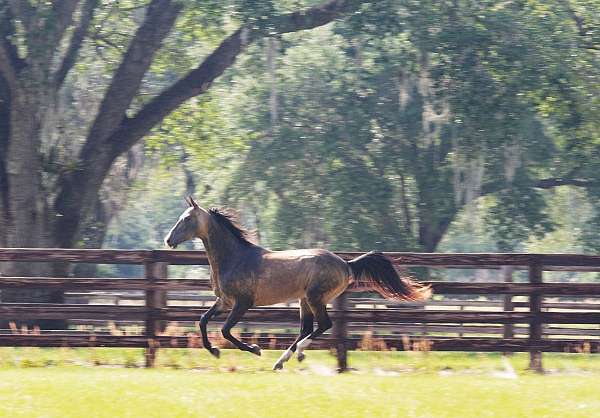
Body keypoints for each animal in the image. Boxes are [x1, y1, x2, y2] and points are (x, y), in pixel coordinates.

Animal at [162, 196, 428, 370]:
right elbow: (202, 321)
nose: (168, 240)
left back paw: (296, 354)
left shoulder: (242, 303)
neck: (235, 257)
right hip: (304, 301)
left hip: (314, 298)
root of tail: (346, 264)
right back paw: (282, 361)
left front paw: (255, 349)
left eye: (187, 219)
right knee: (306, 329)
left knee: (323, 325)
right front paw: (214, 351)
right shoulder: (224, 301)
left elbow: (226, 330)